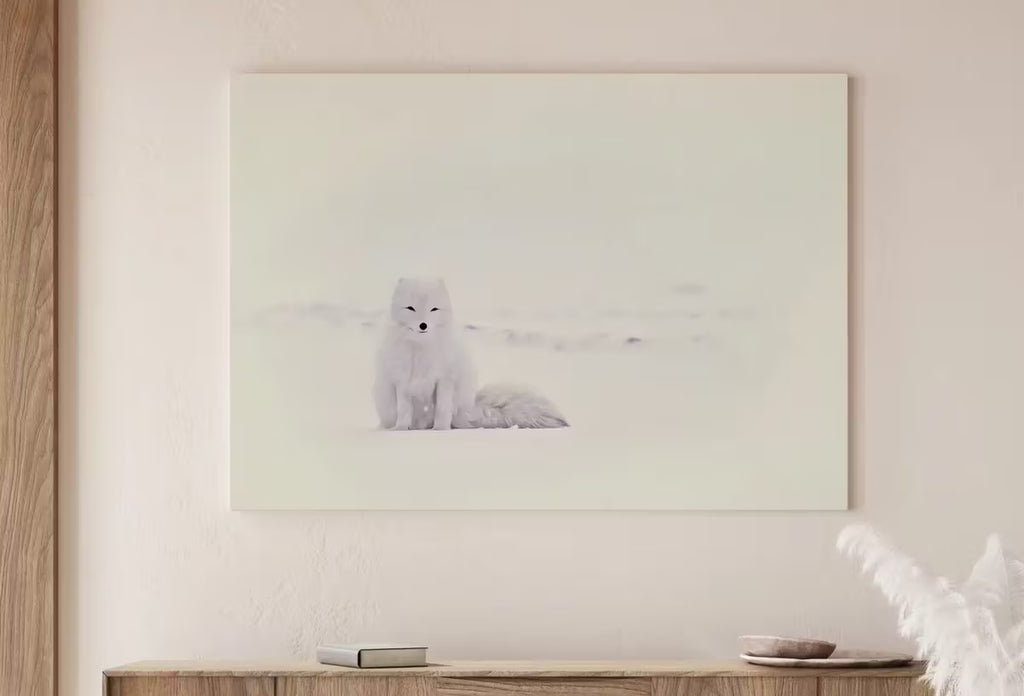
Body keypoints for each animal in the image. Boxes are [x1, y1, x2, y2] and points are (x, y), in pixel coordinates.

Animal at [374, 278, 569, 431]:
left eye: (433, 309)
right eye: (410, 308)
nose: (423, 325)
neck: (421, 349)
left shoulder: (445, 378)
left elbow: (442, 408)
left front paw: (440, 430)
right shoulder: (402, 379)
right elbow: (403, 410)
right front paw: (401, 429)